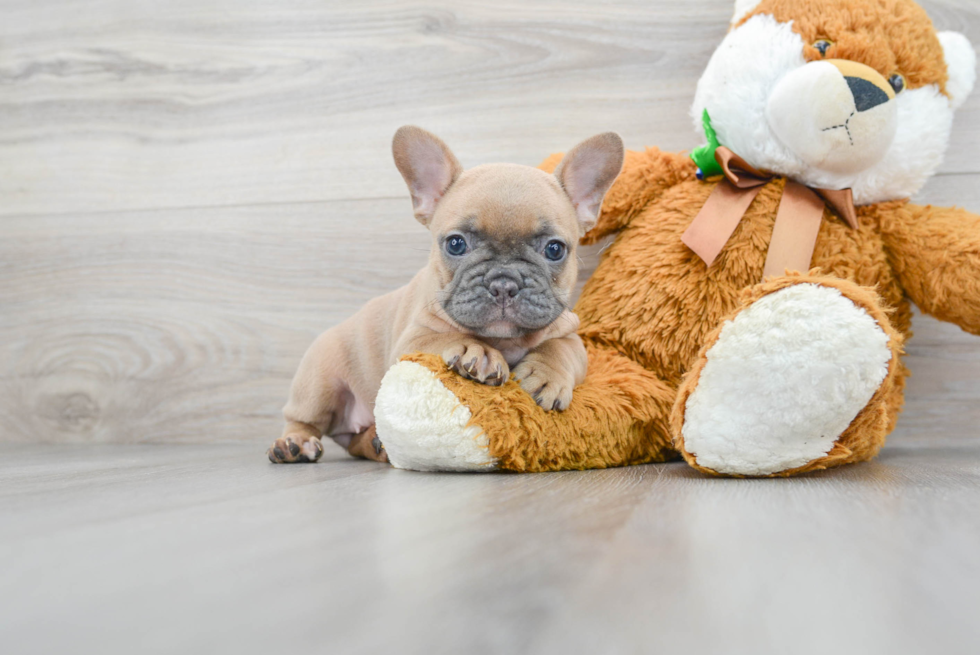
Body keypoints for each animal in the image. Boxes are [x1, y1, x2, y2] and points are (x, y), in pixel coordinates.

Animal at [264, 127, 624, 466]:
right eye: (456, 244)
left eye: (554, 249)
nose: (503, 282)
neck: (503, 340)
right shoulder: (410, 341)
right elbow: (443, 338)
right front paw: (474, 350)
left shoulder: (570, 334)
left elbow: (560, 349)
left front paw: (546, 376)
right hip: (319, 382)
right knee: (303, 420)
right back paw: (294, 444)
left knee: (354, 443)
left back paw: (376, 444)